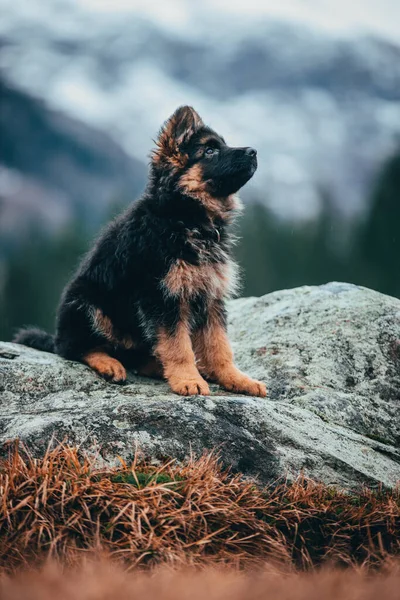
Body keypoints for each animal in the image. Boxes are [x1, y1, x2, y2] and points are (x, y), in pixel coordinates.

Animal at [14, 106, 266, 398]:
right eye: (209, 151)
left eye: (222, 145)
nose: (254, 151)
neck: (184, 218)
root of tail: (56, 336)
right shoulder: (163, 297)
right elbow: (178, 346)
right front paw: (188, 379)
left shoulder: (210, 297)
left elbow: (220, 346)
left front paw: (235, 378)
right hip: (88, 305)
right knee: (75, 348)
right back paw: (109, 363)